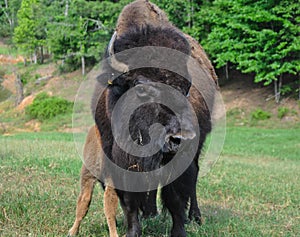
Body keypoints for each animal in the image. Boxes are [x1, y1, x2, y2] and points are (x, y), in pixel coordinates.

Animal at [68, 0, 218, 236]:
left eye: (185, 88)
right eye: (141, 87)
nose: (180, 137)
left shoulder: (178, 161)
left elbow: (175, 197)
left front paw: (179, 230)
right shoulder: (119, 160)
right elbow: (130, 201)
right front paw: (133, 230)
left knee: (193, 178)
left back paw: (195, 216)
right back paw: (150, 212)